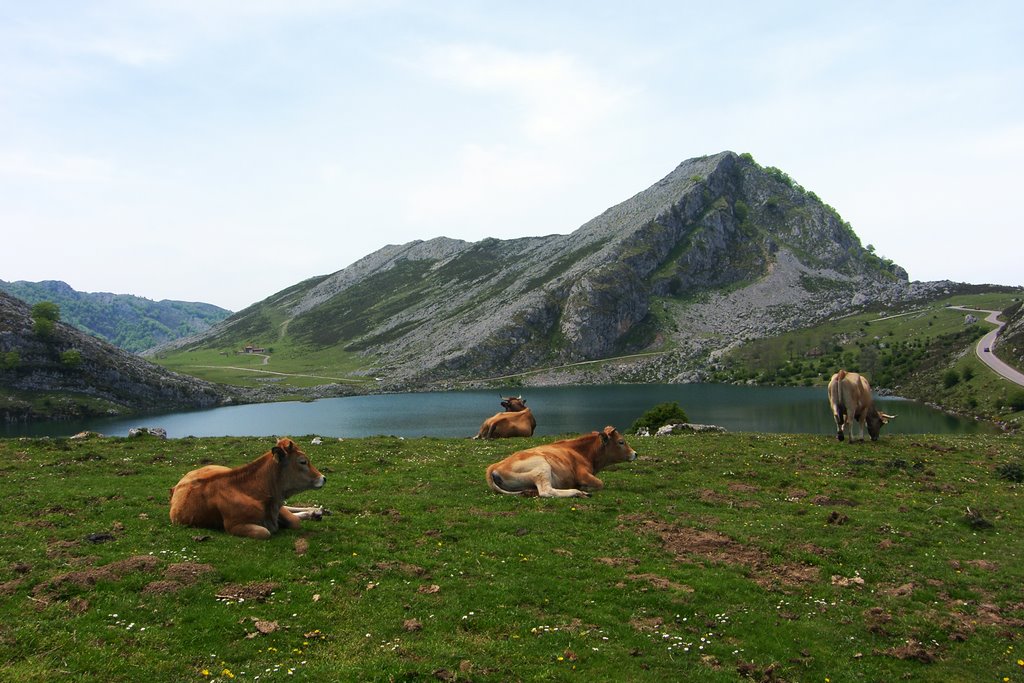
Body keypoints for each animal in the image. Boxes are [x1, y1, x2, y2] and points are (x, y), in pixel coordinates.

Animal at [169, 438, 325, 540]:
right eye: (303, 461)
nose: (323, 478)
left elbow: (294, 521)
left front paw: (313, 512)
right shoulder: (233, 526)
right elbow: (265, 532)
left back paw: (317, 511)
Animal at [483, 423, 634, 499]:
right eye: (621, 442)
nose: (635, 453)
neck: (582, 453)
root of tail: (494, 465)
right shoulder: (582, 474)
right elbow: (600, 483)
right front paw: (585, 487)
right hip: (542, 467)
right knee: (546, 491)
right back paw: (578, 492)